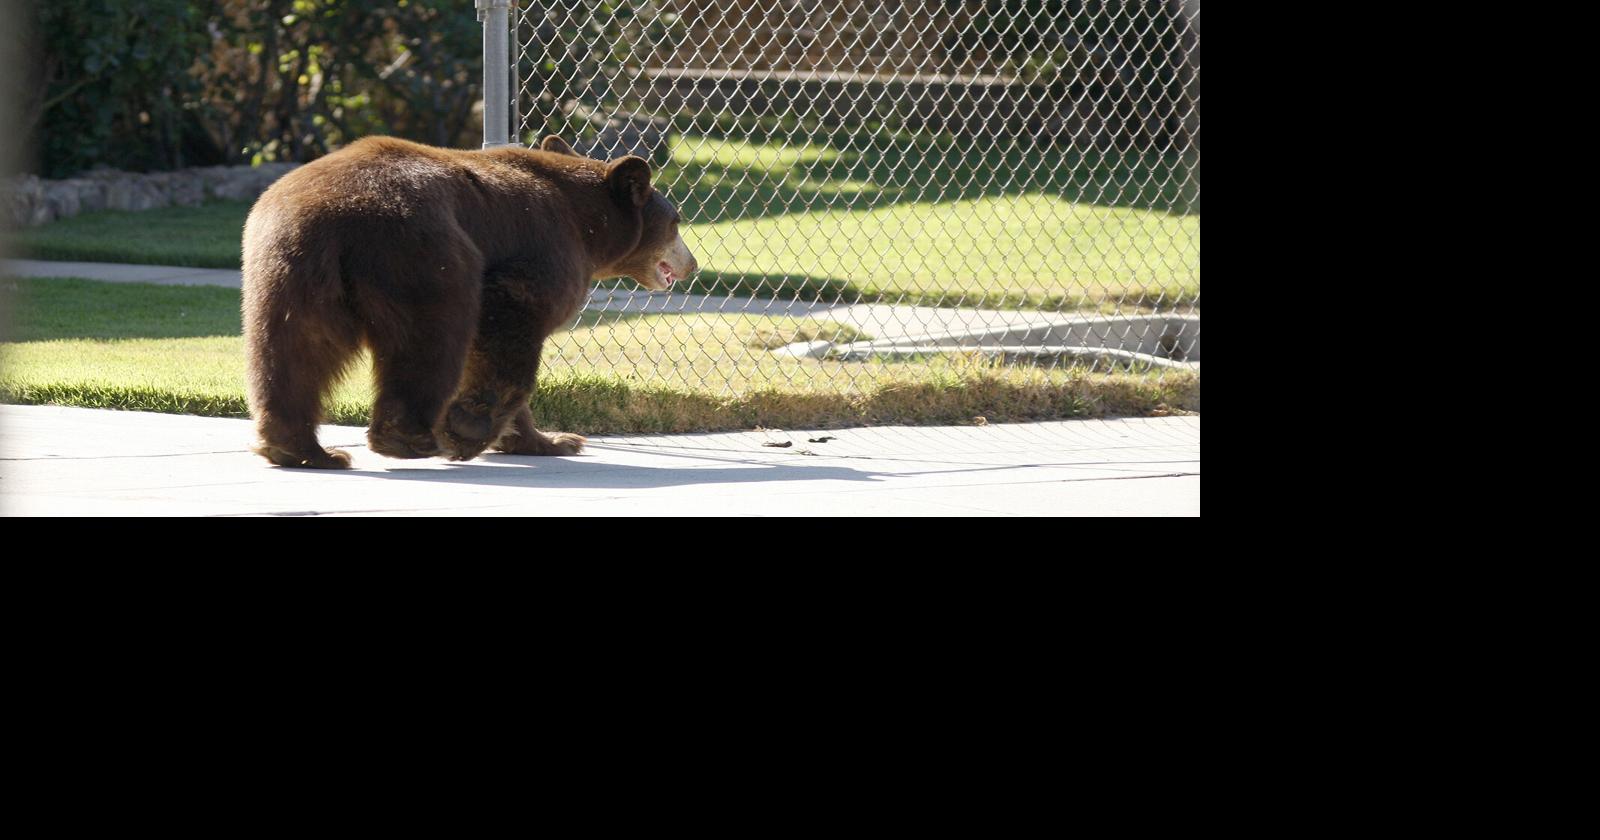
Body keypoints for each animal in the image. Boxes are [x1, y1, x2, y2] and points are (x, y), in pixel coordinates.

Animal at [241, 134, 697, 469]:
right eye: (676, 222)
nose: (691, 263)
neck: (589, 226)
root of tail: (333, 216)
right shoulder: (545, 249)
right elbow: (511, 321)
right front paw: (469, 428)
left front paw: (552, 439)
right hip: (422, 253)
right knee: (432, 337)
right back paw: (411, 438)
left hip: (288, 272)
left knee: (293, 351)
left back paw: (302, 449)